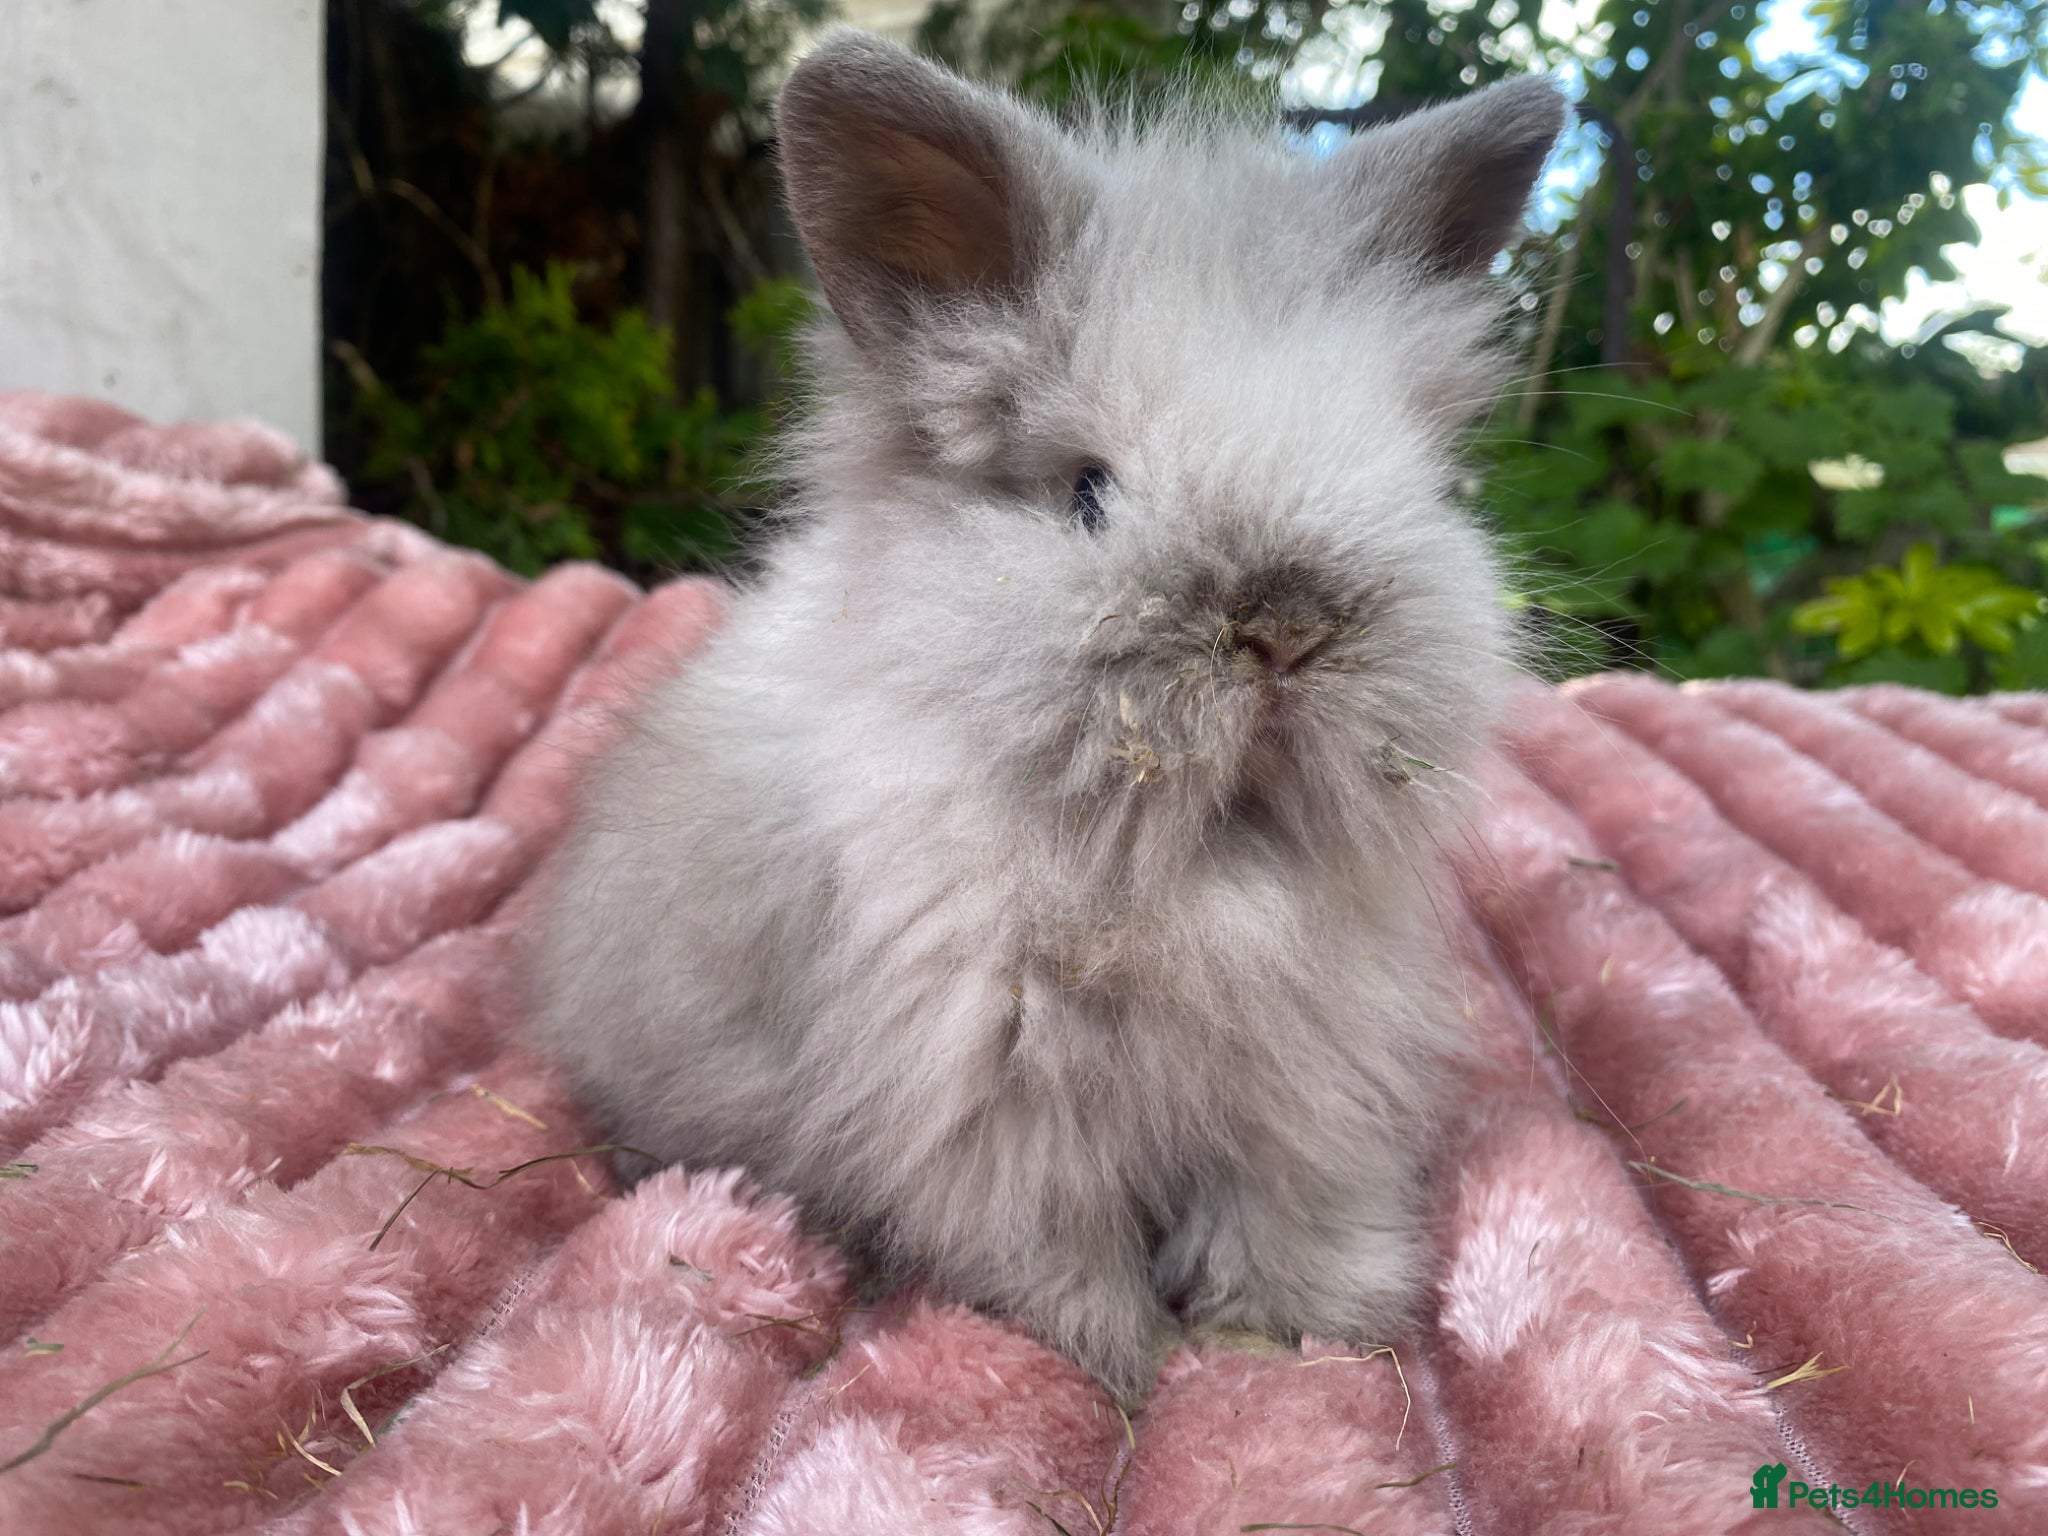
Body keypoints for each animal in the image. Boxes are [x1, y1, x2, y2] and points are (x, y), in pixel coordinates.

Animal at [525, 27, 1565, 1406]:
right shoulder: (992, 1105)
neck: (1200, 863)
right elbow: (1055, 1257)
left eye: (1421, 481)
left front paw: (1286, 1341)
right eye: (1086, 493)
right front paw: (1136, 1369)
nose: (1284, 628)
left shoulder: (1307, 1087)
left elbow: (1290, 1211)